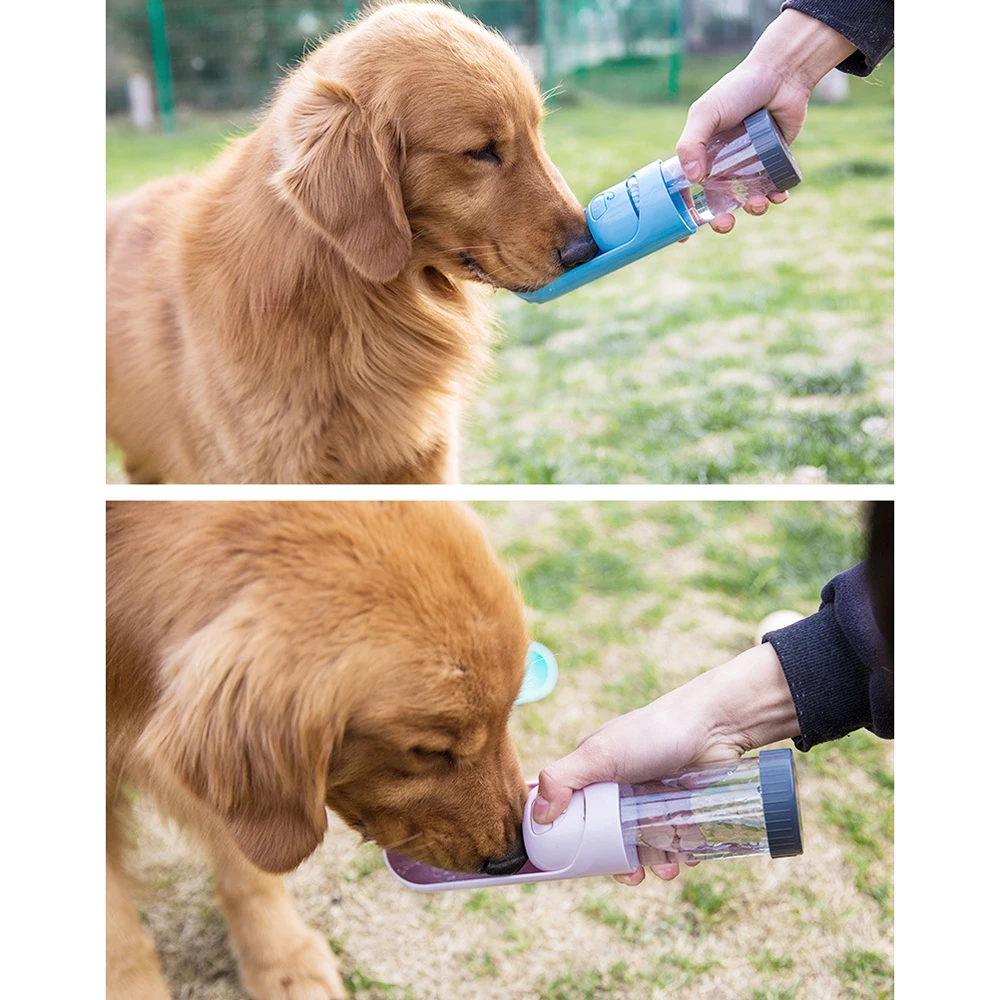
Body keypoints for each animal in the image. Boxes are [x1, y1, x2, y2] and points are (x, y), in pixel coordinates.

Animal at [106, 504, 532, 1000]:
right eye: (427, 751)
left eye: (512, 710)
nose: (513, 859)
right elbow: (117, 933)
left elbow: (248, 867)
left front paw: (282, 960)